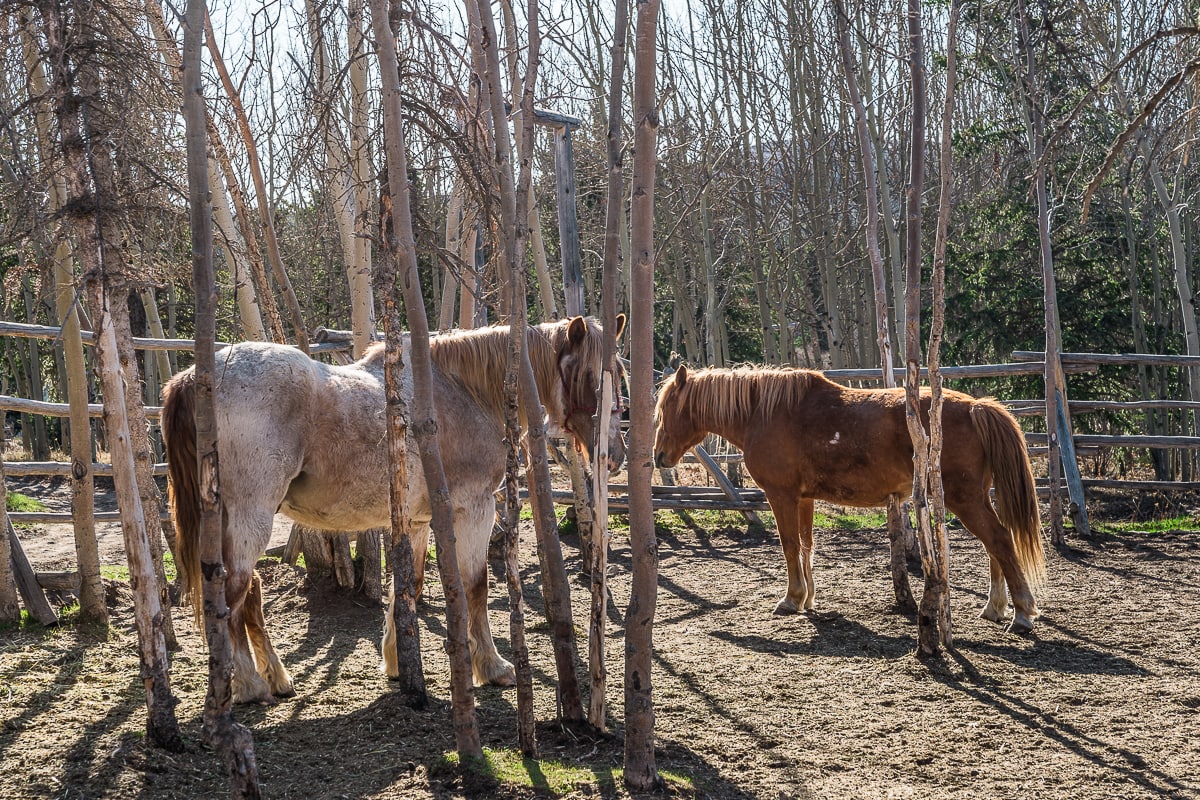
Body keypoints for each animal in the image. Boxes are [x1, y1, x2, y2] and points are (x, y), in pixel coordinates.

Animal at [164, 316, 628, 705]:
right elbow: (475, 586)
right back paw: (250, 685)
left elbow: (412, 584)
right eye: (592, 376)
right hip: (251, 519)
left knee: (249, 594)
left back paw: (274, 678)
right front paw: (492, 667)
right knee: (233, 594)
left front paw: (395, 661)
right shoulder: (474, 510)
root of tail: (196, 377)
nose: (614, 455)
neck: (461, 390)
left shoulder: (420, 519)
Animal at [652, 362, 1046, 633]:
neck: (763, 414)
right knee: (994, 545)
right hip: (975, 498)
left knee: (999, 540)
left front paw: (791, 599)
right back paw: (995, 607)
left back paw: (1022, 612)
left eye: (666, 409)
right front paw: (808, 598)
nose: (658, 456)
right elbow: (806, 545)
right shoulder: (804, 499)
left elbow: (789, 545)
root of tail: (976, 406)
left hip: (965, 500)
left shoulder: (781, 496)